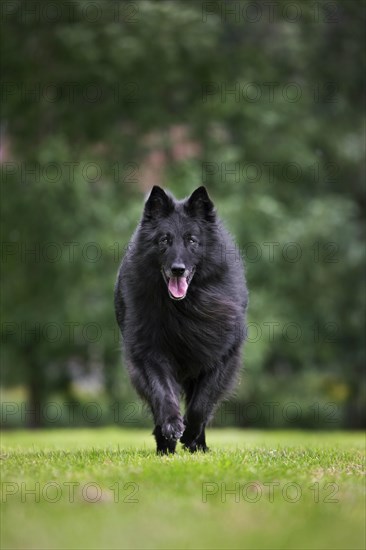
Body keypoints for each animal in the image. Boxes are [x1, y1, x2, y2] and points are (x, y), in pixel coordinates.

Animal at [113, 188, 247, 454]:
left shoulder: (221, 355)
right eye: (164, 240)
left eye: (192, 240)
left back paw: (198, 445)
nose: (178, 269)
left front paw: (191, 434)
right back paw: (165, 446)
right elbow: (163, 393)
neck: (184, 309)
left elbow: (202, 403)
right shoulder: (150, 354)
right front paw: (172, 426)